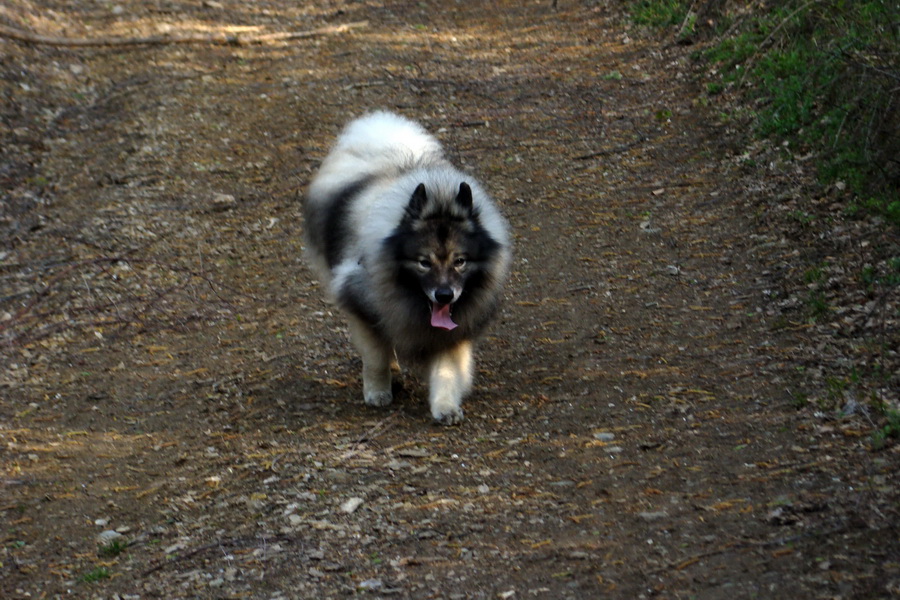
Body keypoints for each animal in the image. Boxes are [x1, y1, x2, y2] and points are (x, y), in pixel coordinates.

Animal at [304, 110, 510, 424]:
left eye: (460, 261)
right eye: (424, 263)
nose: (444, 295)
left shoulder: (451, 332)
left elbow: (446, 371)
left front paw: (446, 407)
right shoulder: (362, 304)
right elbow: (375, 357)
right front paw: (378, 391)